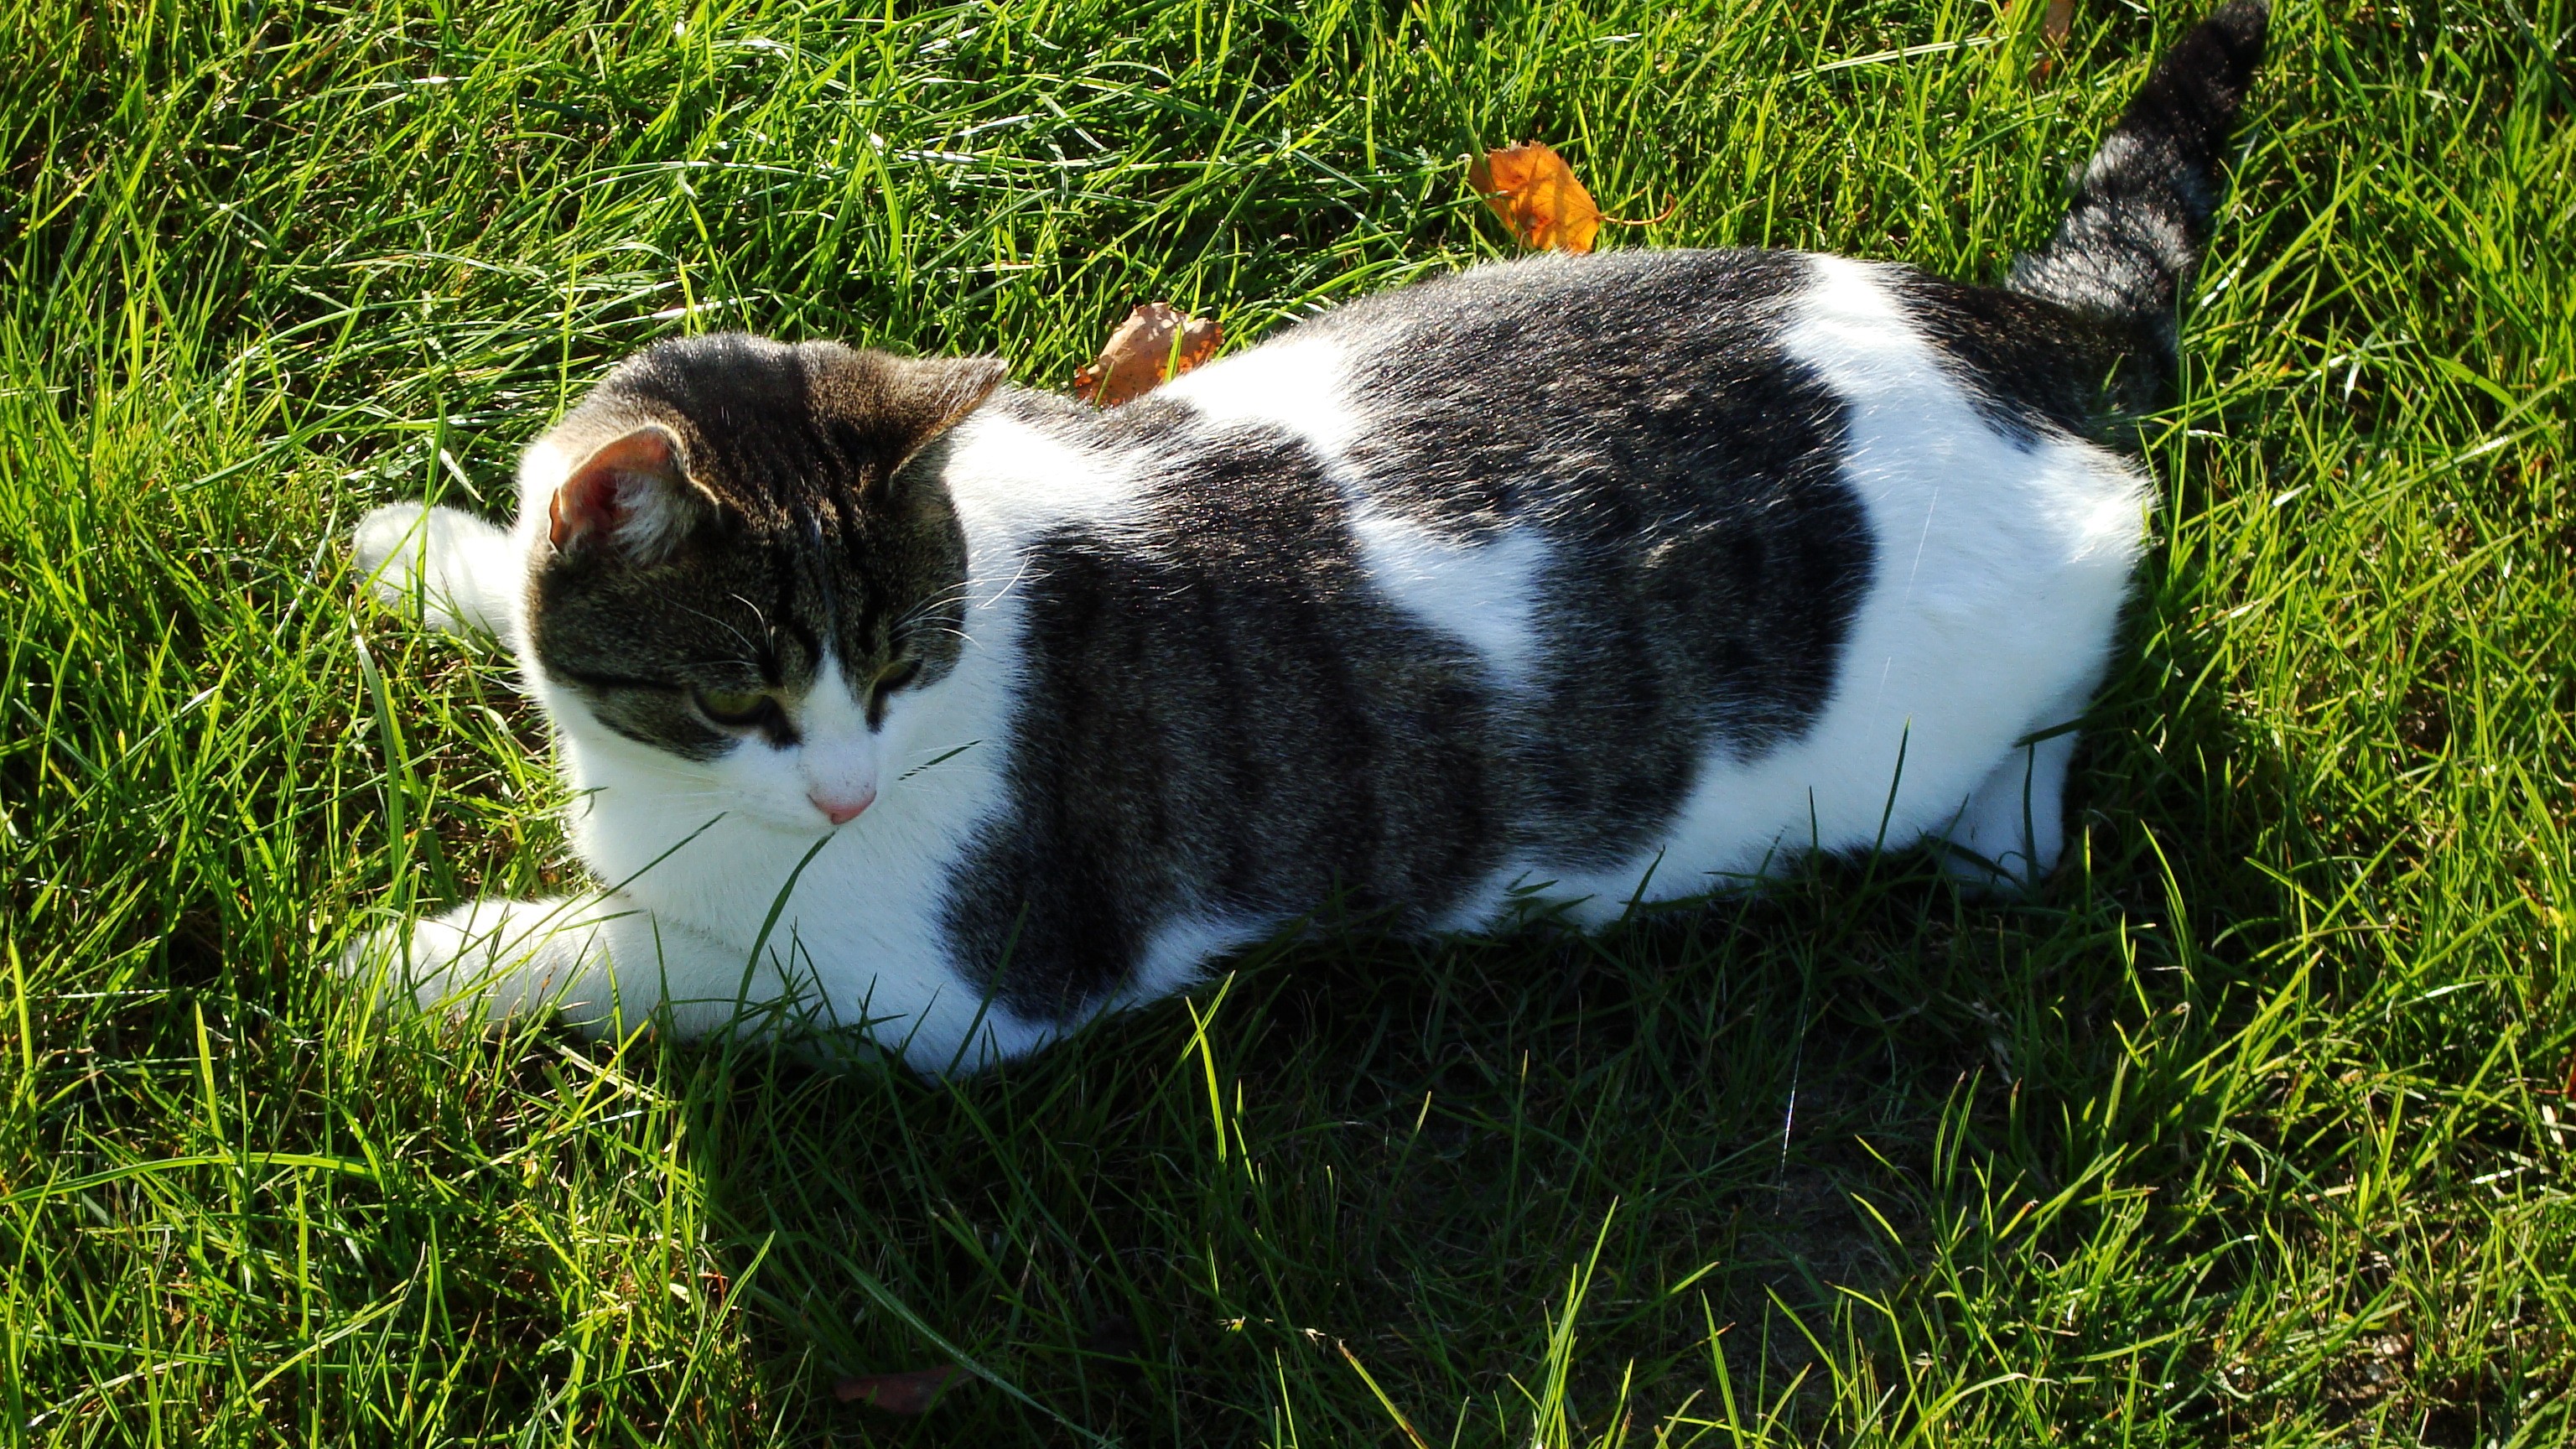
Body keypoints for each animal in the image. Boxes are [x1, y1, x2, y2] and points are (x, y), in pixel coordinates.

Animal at [347, 3, 2277, 1072]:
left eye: (895, 668)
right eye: (745, 696)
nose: (839, 793)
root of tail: (2011, 332)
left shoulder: (935, 993)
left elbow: (643, 959)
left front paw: (425, 959)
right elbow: (509, 563)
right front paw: (426, 549)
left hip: (2019, 640)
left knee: (2050, 723)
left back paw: (1993, 828)